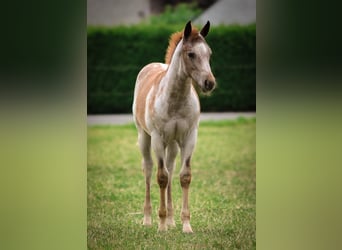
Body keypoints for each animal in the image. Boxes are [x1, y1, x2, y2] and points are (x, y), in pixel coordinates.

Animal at [132, 20, 215, 233]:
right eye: (191, 54)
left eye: (209, 53)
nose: (209, 83)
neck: (176, 100)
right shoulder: (158, 138)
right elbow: (161, 177)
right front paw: (161, 227)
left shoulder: (189, 137)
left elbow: (184, 176)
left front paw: (185, 225)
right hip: (144, 137)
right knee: (149, 169)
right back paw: (148, 220)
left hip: (173, 144)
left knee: (170, 169)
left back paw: (171, 220)